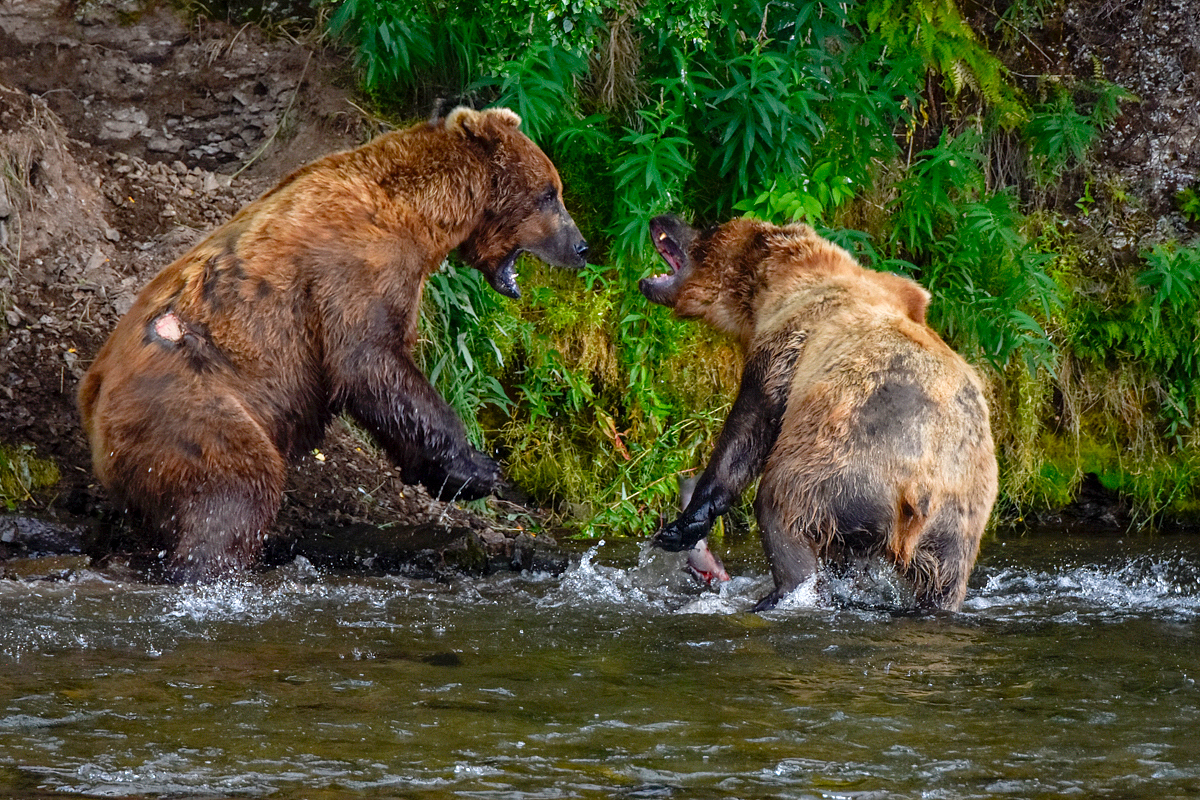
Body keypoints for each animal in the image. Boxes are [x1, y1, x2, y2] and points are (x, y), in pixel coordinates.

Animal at [77, 106, 588, 582]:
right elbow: (370, 362)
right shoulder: (355, 268)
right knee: (236, 488)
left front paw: (438, 473)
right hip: (190, 407)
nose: (582, 247)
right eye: (550, 194)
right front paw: (476, 469)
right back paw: (209, 567)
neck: (423, 215)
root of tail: (93, 400)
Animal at [643, 215, 998, 609]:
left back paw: (781, 592)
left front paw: (681, 525)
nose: (662, 218)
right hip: (957, 521)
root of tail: (919, 490)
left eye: (708, 229)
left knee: (780, 507)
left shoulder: (785, 347)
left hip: (841, 471)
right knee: (942, 580)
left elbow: (747, 433)